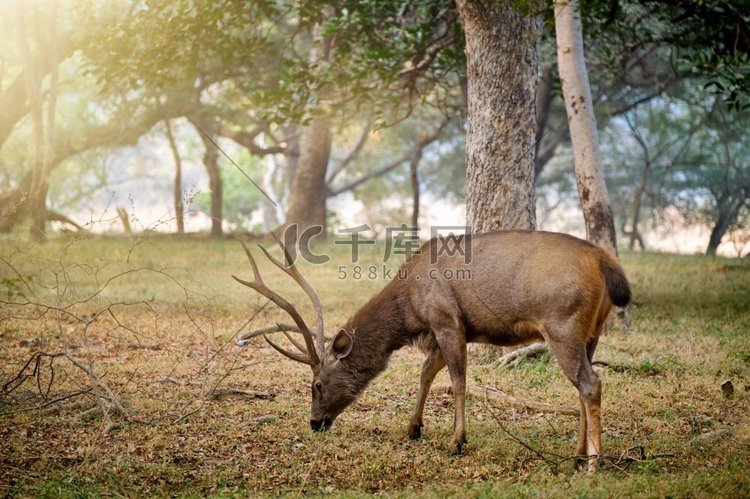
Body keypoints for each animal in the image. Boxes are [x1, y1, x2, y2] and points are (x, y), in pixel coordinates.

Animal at [234, 230, 628, 472]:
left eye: (317, 384)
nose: (315, 423)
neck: (410, 309)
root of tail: (607, 264)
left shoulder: (446, 320)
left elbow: (457, 381)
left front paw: (457, 441)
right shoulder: (444, 331)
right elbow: (425, 372)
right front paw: (414, 427)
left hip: (562, 324)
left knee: (590, 384)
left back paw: (594, 464)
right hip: (590, 332)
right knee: (582, 388)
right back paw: (576, 456)